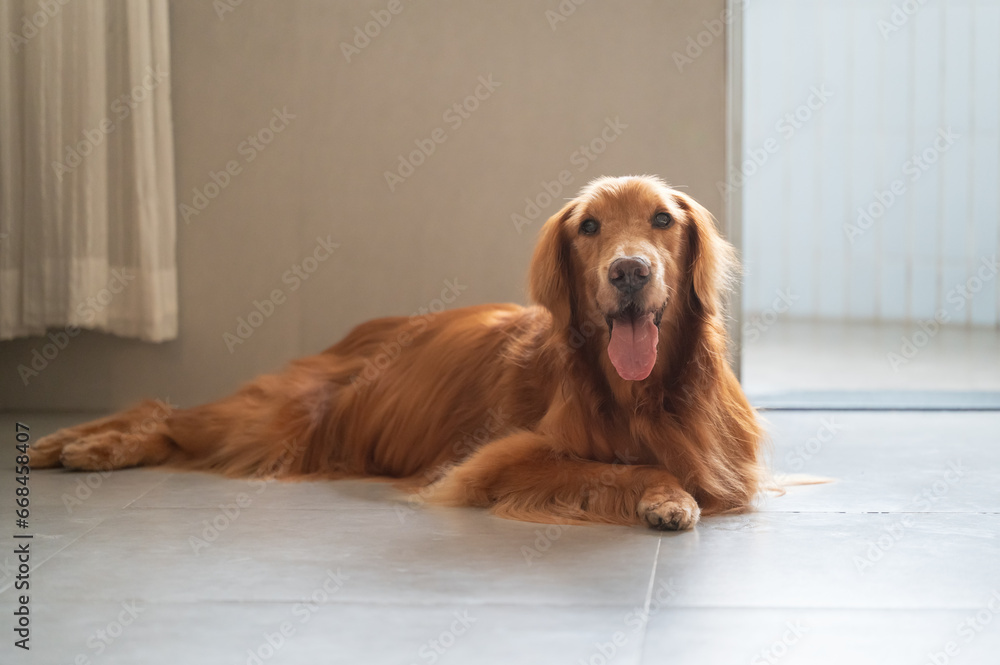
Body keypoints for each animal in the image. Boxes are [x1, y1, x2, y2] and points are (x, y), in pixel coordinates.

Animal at [33, 175, 764, 528]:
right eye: (589, 227)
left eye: (662, 220)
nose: (629, 272)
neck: (640, 392)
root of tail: (363, 331)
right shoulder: (496, 462)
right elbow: (623, 468)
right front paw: (664, 494)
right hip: (277, 421)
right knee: (160, 410)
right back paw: (78, 445)